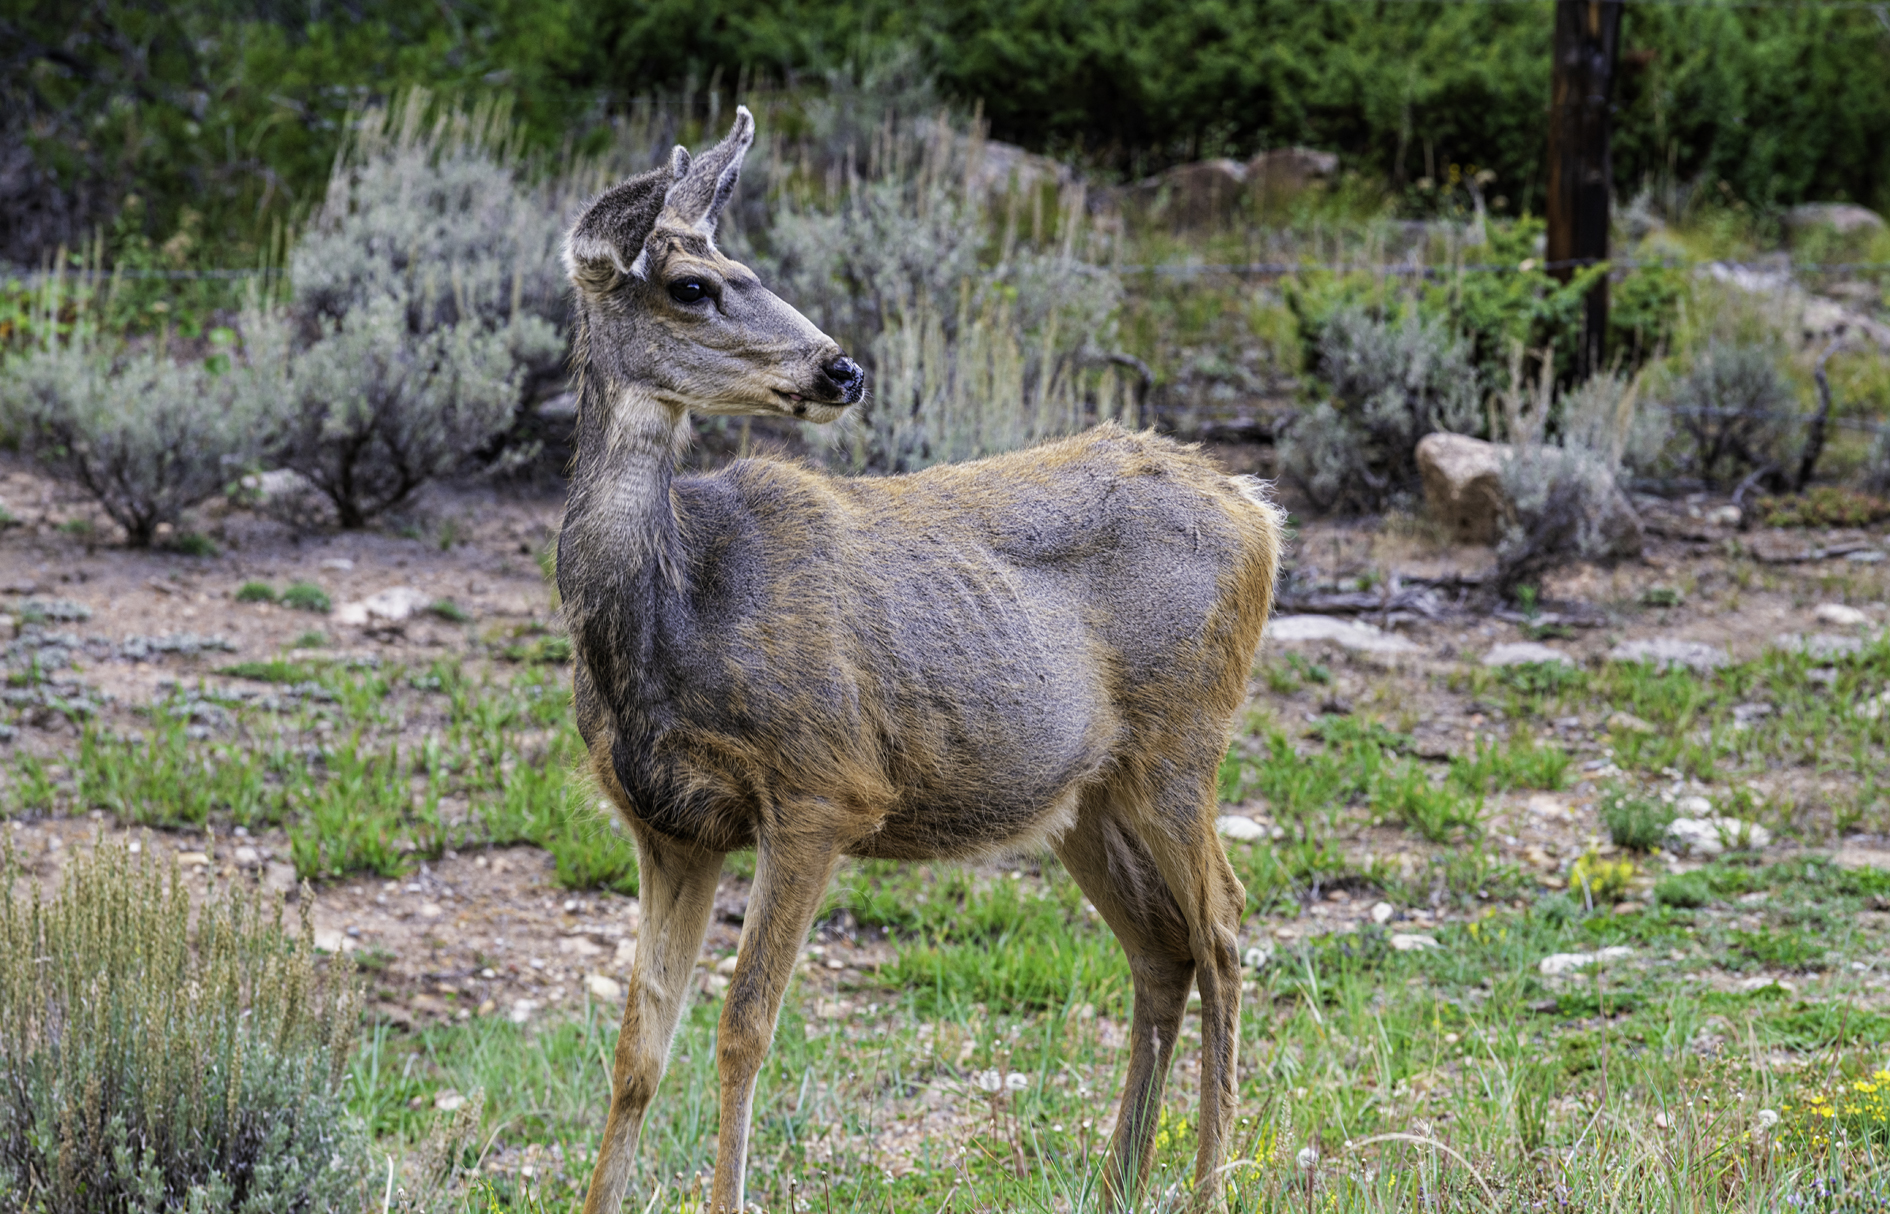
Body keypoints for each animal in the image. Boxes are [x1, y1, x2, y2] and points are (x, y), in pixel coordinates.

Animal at [559, 106, 1292, 1210]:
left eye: (745, 266)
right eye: (692, 285)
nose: (842, 369)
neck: (670, 621)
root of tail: (1257, 505)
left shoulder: (822, 786)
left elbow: (743, 1028)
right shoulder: (668, 826)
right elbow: (638, 1048)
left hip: (1184, 738)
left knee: (1227, 925)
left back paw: (1208, 1180)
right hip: (1087, 792)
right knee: (1161, 947)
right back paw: (1117, 1176)